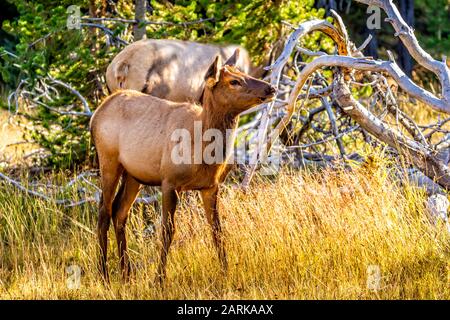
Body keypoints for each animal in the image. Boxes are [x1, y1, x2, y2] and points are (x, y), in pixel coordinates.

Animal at [90, 48, 276, 282]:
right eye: (234, 81)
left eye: (244, 73)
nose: (271, 88)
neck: (204, 151)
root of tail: (96, 114)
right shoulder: (170, 181)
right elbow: (167, 231)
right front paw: (159, 279)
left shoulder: (210, 186)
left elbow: (217, 230)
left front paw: (226, 272)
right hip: (108, 161)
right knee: (103, 211)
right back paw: (104, 274)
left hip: (134, 175)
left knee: (119, 212)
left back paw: (126, 273)